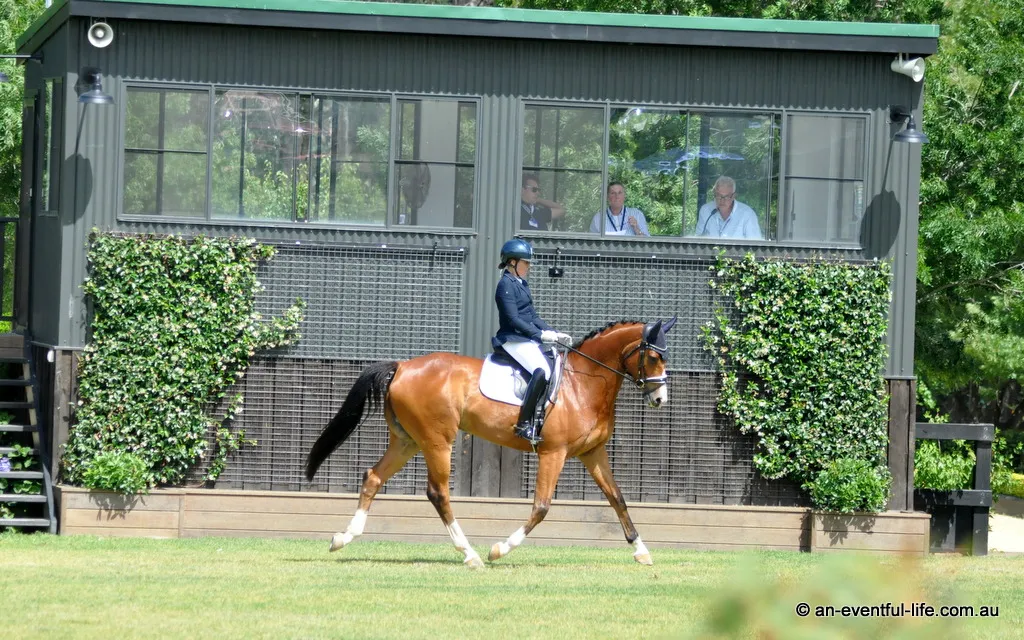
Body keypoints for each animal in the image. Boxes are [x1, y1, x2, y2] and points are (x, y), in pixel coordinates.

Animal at [305, 318, 676, 568]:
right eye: (653, 358)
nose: (660, 399)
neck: (583, 383)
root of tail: (403, 366)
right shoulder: (553, 453)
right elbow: (541, 507)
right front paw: (500, 548)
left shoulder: (592, 453)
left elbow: (617, 498)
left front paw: (642, 551)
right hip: (437, 442)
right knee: (438, 493)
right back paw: (470, 554)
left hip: (407, 441)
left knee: (373, 477)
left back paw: (343, 539)